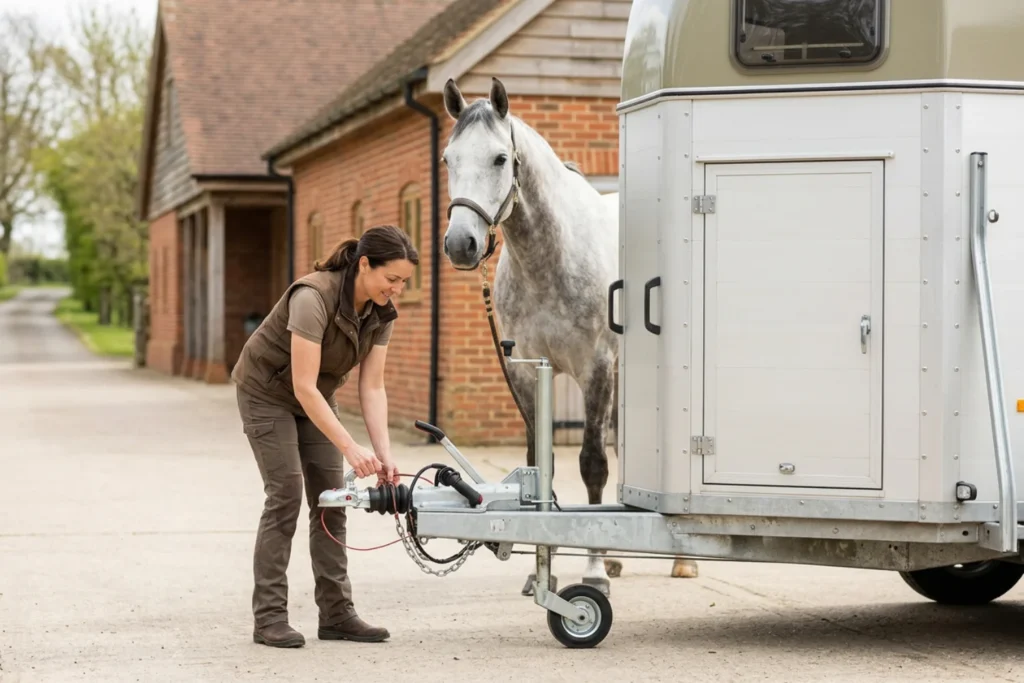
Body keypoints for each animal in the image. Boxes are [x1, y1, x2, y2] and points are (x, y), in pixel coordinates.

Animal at [439, 76, 699, 596]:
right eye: (447, 159)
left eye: (500, 158)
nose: (461, 244)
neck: (550, 257)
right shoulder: (526, 373)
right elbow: (541, 464)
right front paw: (546, 567)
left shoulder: (594, 368)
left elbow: (592, 464)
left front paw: (593, 573)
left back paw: (681, 562)